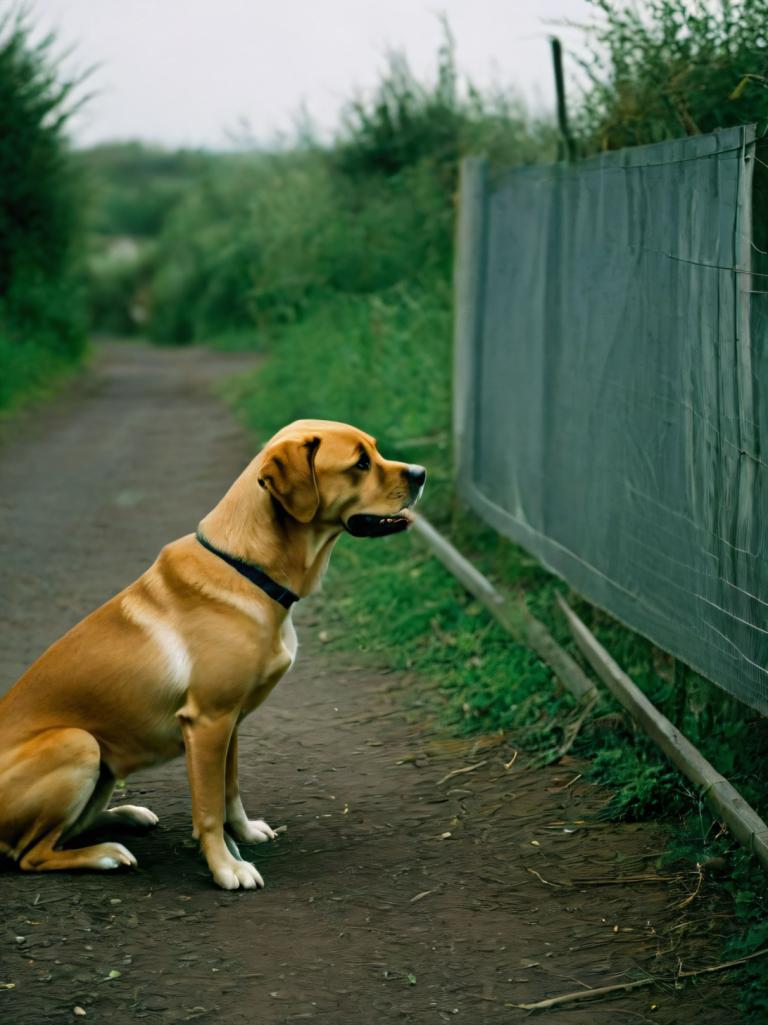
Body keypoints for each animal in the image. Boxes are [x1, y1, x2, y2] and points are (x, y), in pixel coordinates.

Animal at [0, 422, 424, 889]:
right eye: (360, 463)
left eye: (376, 451)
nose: (422, 473)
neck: (248, 568)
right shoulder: (207, 722)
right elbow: (207, 808)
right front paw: (226, 867)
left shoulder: (231, 722)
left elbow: (229, 791)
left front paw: (243, 834)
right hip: (79, 743)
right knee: (31, 855)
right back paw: (107, 854)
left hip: (103, 767)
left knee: (68, 831)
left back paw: (127, 815)